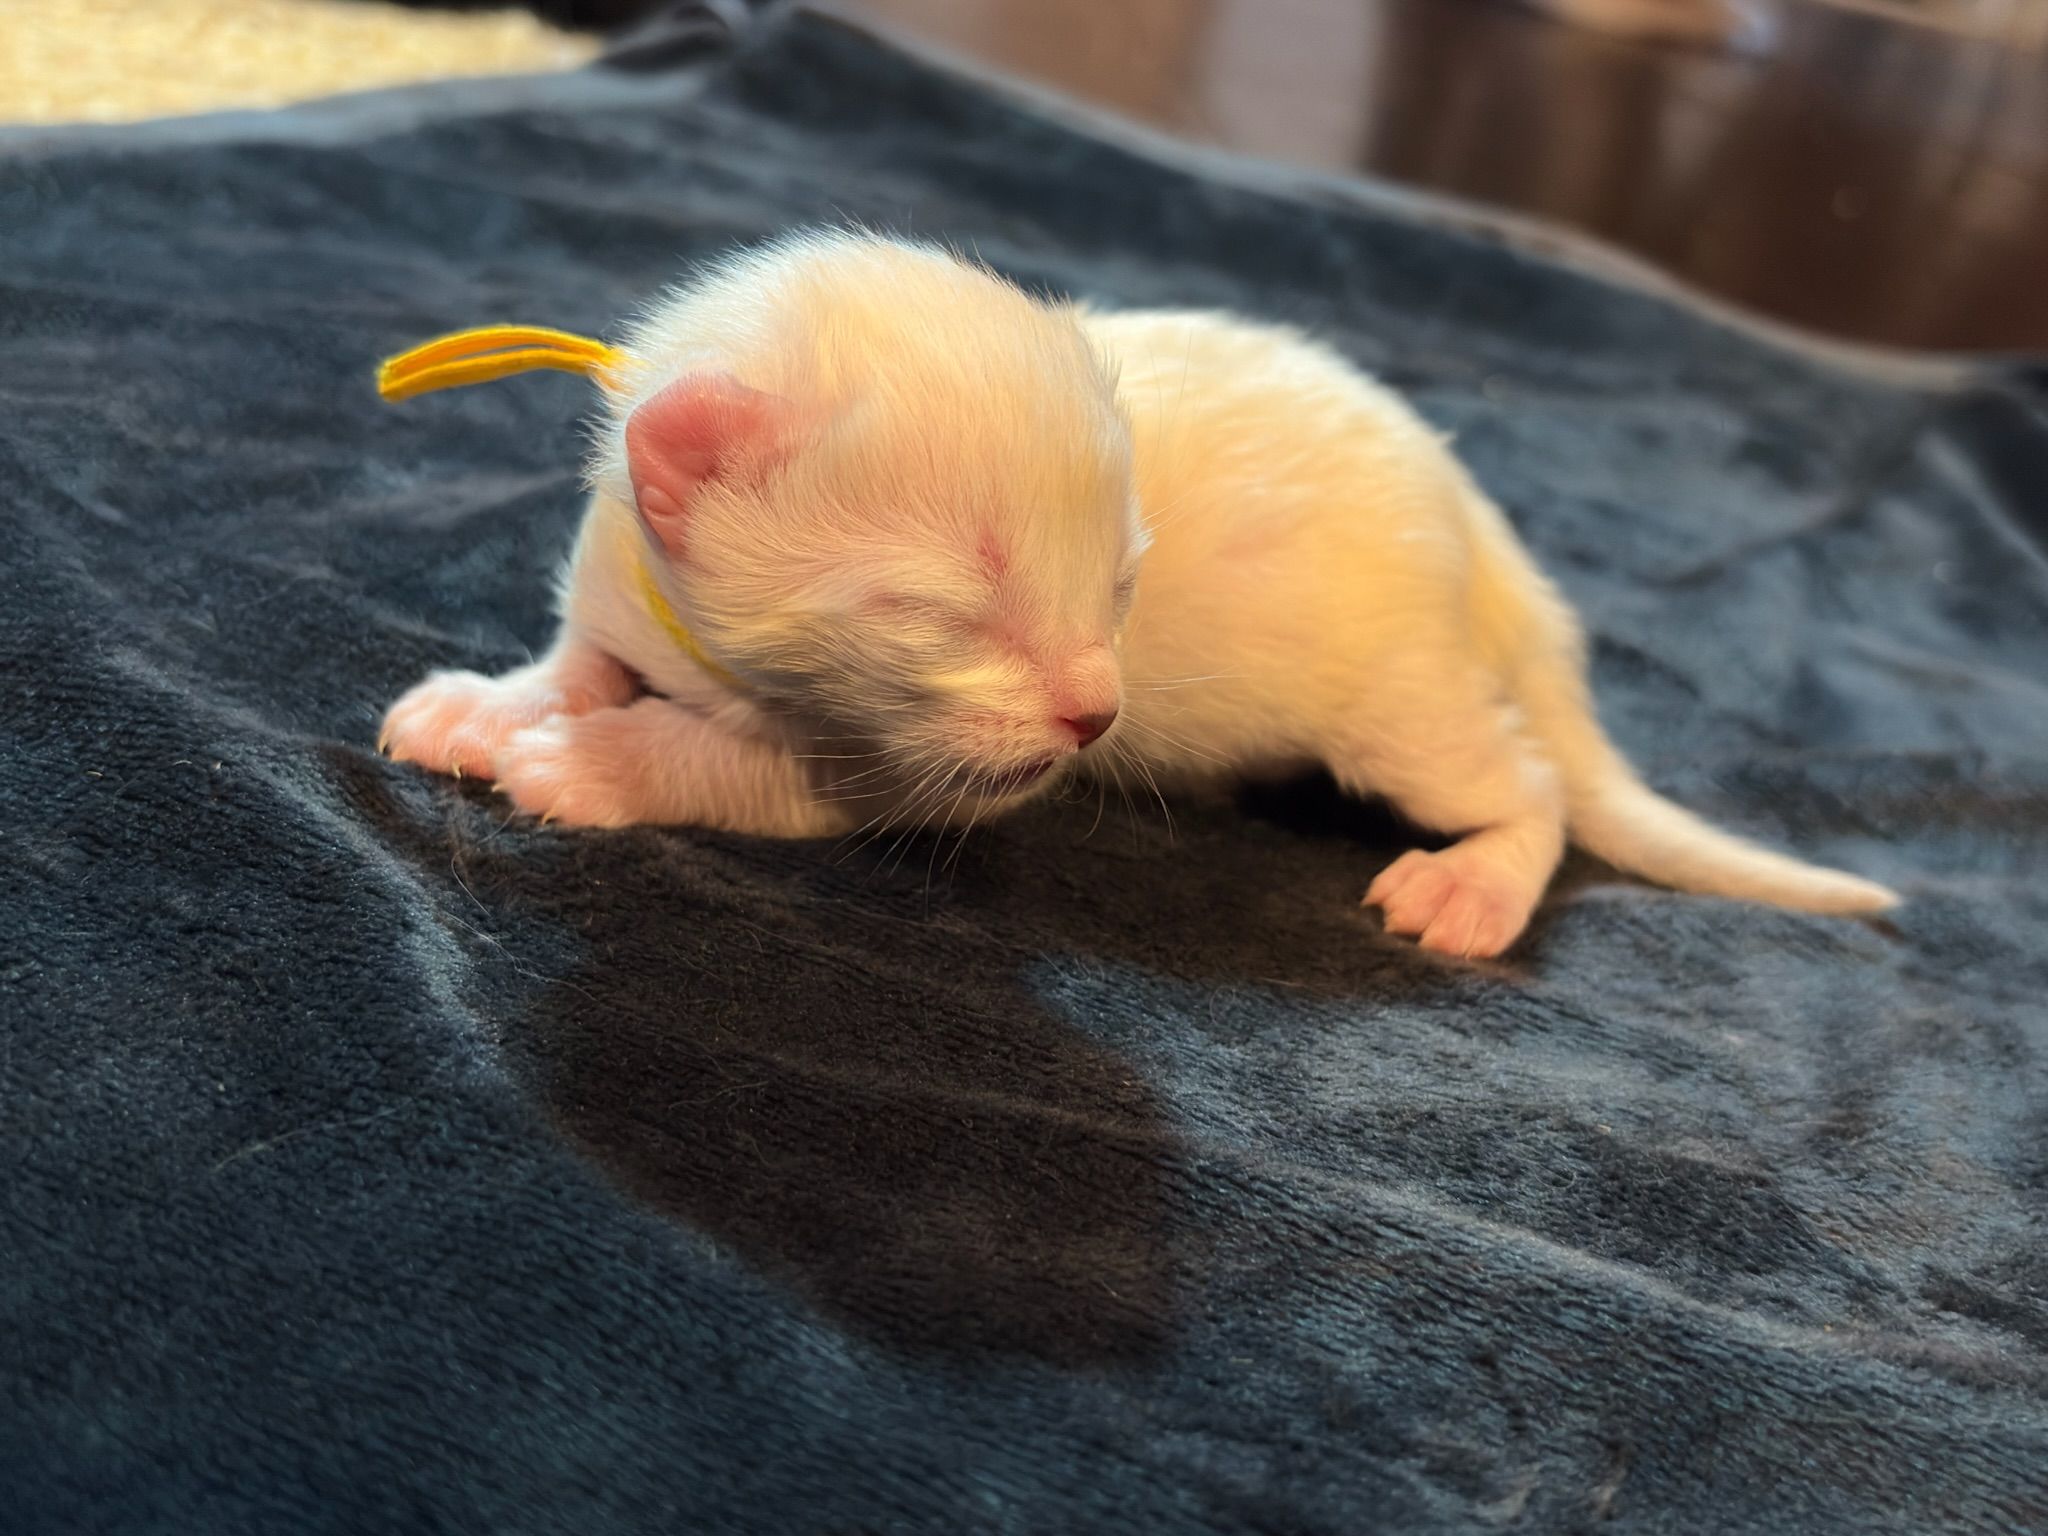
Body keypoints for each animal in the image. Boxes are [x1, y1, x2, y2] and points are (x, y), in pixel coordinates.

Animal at [380, 231, 1894, 958]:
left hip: (1397, 697)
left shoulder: (913, 777)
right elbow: (580, 655)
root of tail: (1479, 521)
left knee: (1529, 788)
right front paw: (495, 703)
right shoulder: (622, 578)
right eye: (953, 611)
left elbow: (735, 765)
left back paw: (1470, 886)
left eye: (1118, 584)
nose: (1095, 721)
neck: (720, 655)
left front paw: (589, 760)